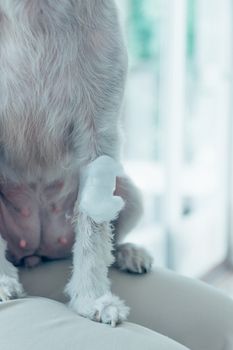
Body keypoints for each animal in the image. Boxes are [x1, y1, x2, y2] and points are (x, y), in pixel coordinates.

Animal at [0, 0, 153, 328]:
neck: (36, 9)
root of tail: (36, 250)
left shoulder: (99, 130)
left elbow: (95, 230)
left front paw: (92, 298)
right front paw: (3, 282)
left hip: (129, 192)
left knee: (114, 237)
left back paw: (130, 254)